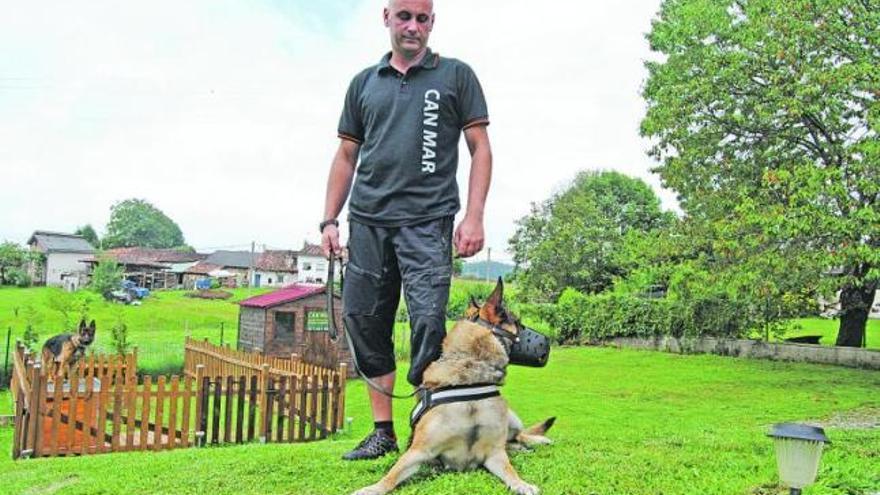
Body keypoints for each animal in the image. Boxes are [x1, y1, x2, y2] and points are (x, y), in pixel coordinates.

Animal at [348, 280, 552, 495]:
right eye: (519, 324)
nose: (549, 342)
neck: (471, 382)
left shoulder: (494, 453)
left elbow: (510, 471)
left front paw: (522, 484)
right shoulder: (418, 452)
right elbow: (391, 475)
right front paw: (372, 488)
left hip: (511, 419)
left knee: (518, 435)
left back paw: (537, 441)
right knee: (512, 442)